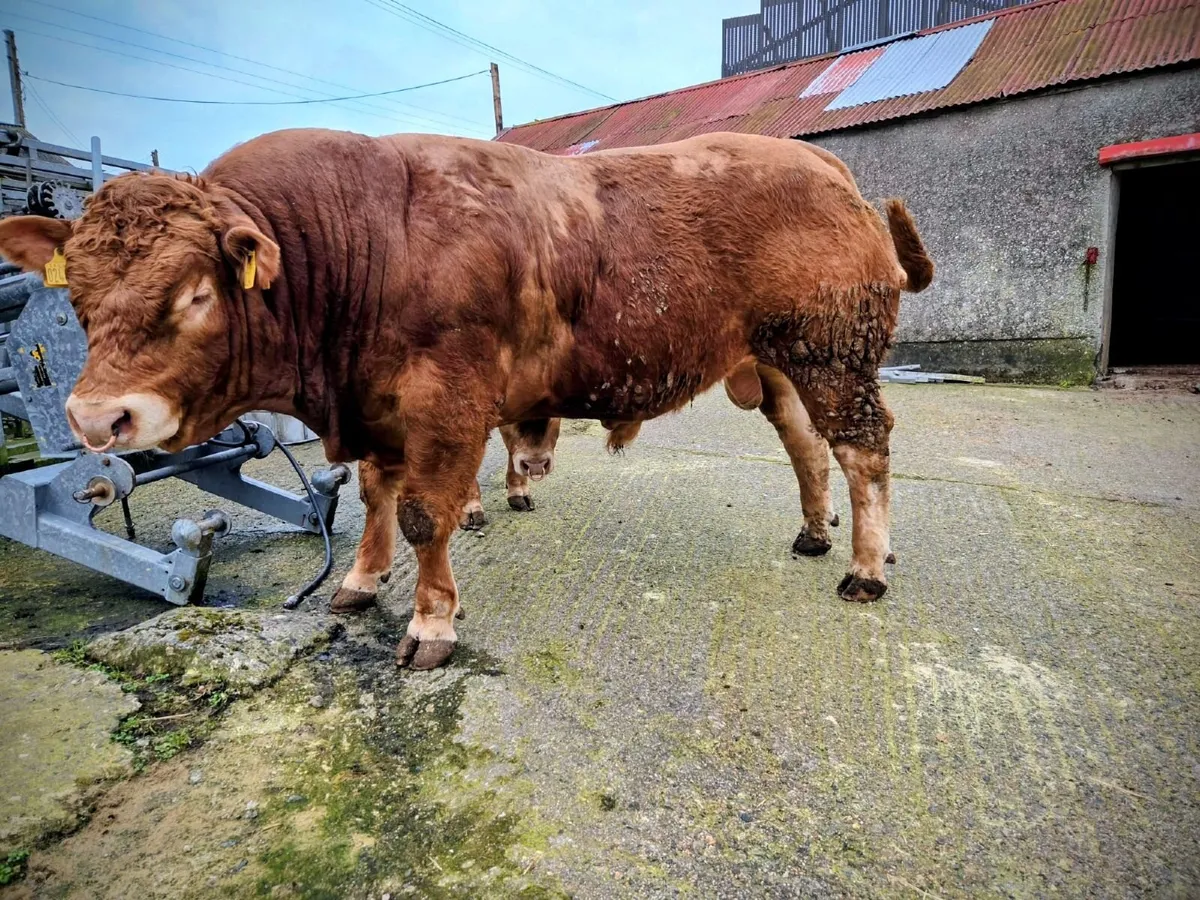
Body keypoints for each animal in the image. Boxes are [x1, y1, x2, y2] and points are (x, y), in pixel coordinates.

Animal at [0, 128, 933, 671]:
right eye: (77, 295)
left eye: (196, 293)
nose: (97, 419)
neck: (360, 236)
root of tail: (821, 161)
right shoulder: (377, 408)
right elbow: (376, 499)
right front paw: (360, 581)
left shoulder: (444, 402)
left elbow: (425, 515)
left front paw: (431, 625)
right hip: (778, 365)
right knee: (808, 447)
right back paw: (817, 533)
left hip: (833, 354)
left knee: (864, 446)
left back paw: (864, 567)